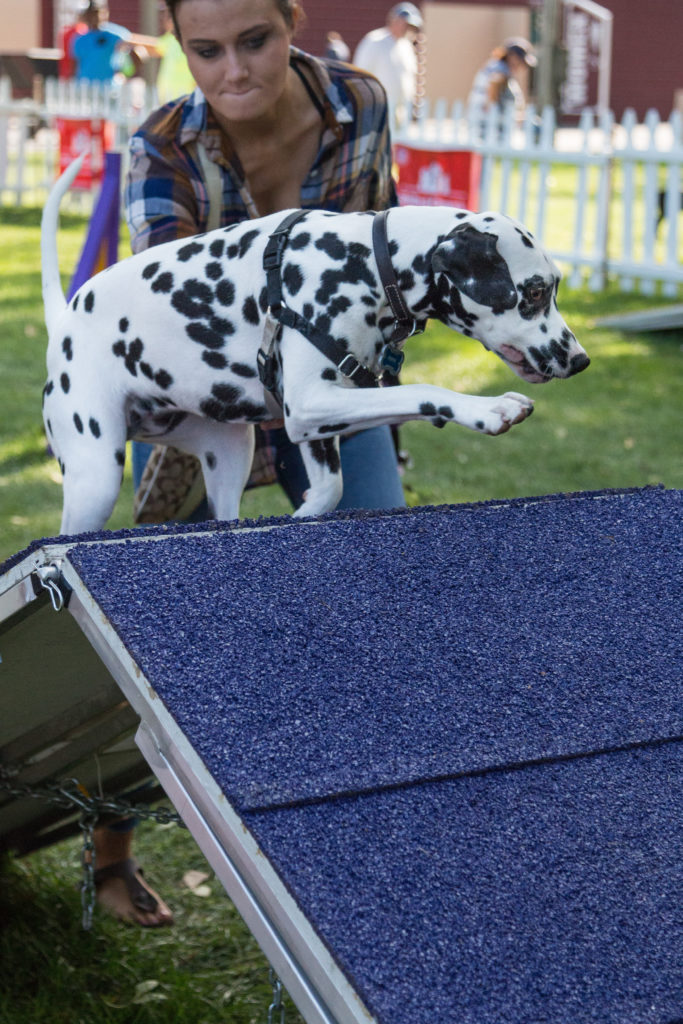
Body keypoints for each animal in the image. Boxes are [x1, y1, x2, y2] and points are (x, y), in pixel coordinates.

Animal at [41, 157, 589, 536]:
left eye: (553, 288)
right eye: (534, 292)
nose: (581, 360)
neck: (367, 260)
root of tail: (66, 317)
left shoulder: (318, 419)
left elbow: (330, 489)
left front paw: (302, 513)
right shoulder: (310, 403)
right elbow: (425, 393)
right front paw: (488, 408)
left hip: (228, 454)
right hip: (96, 476)